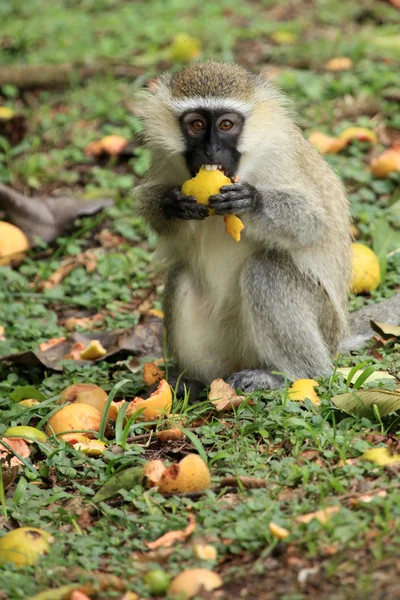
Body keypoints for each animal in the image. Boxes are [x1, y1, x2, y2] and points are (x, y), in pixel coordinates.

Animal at [135, 59, 400, 390]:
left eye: (226, 125)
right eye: (196, 124)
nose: (211, 151)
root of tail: (336, 338)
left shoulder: (280, 154)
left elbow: (314, 222)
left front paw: (252, 201)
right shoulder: (163, 157)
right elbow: (149, 205)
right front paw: (172, 204)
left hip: (322, 323)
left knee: (267, 269)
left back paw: (291, 374)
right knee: (181, 275)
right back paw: (193, 381)